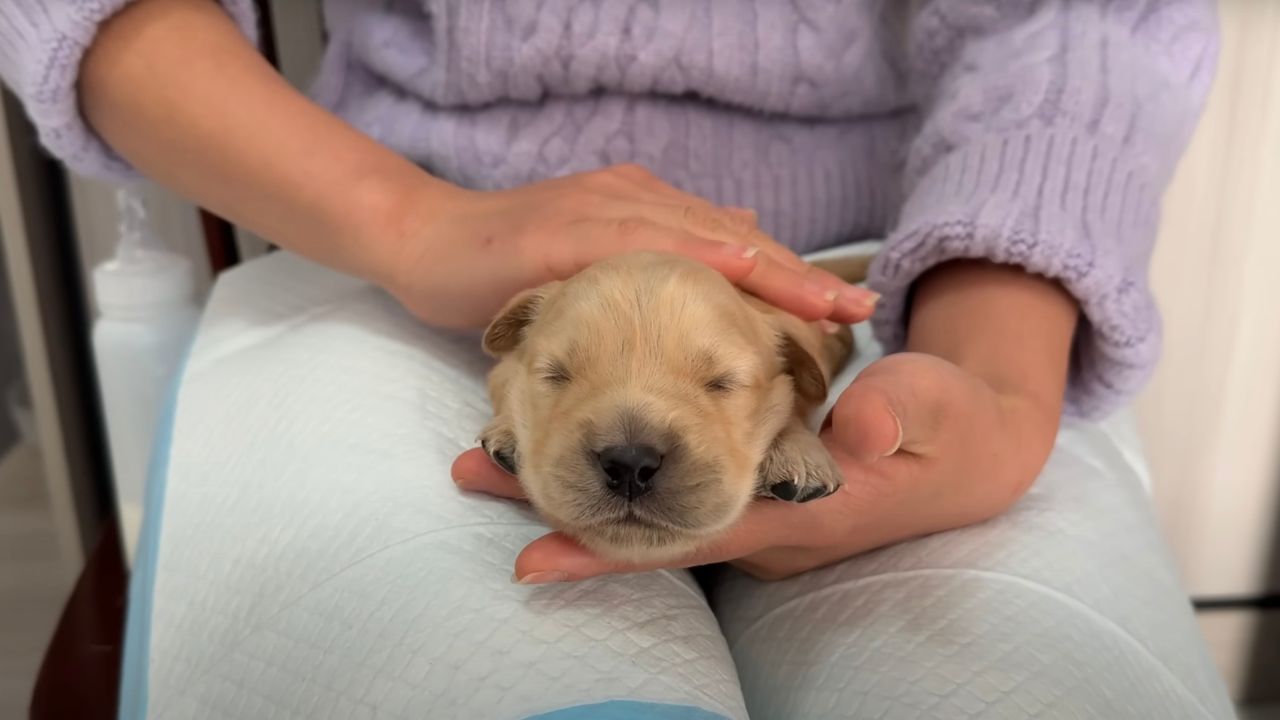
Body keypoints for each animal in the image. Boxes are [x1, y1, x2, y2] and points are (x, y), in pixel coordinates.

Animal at [481, 251, 870, 561]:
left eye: (722, 382)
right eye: (556, 375)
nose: (630, 464)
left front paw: (799, 453)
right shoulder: (503, 370)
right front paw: (507, 431)